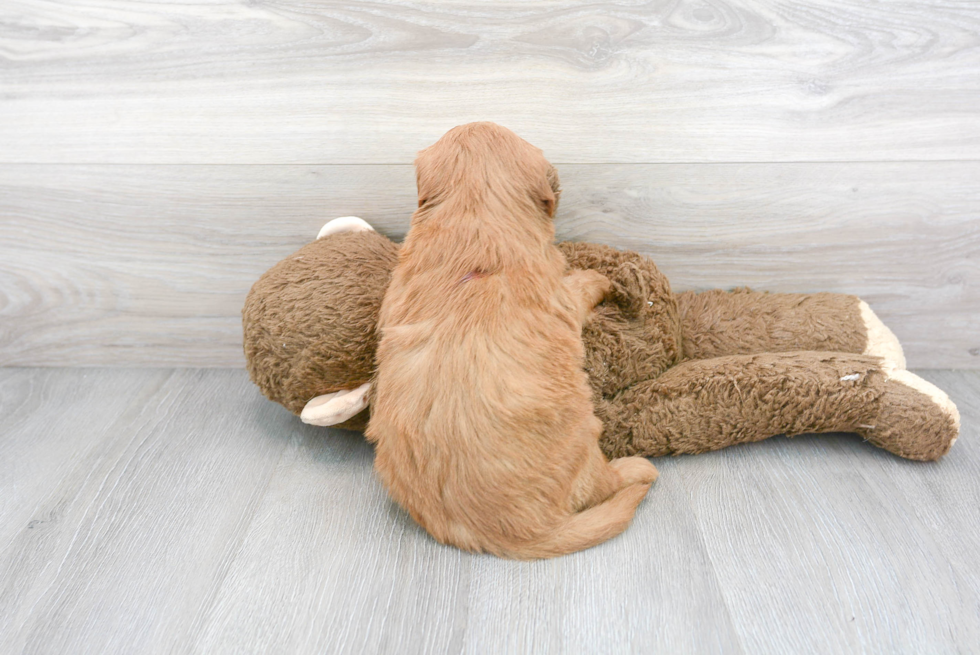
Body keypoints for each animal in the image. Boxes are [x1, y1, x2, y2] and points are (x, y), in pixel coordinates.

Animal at [368, 123, 660, 560]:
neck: (475, 220)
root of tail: (517, 535)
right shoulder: (562, 294)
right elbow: (583, 282)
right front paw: (604, 279)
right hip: (585, 439)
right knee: (604, 484)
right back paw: (637, 469)